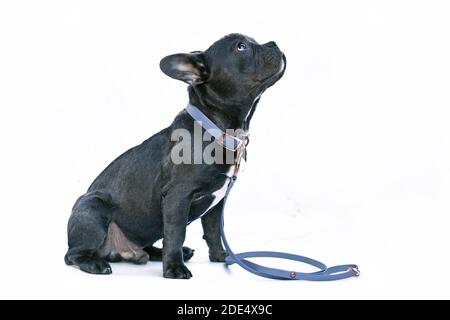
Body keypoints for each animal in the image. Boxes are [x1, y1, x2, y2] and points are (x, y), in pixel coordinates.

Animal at [64, 33, 284, 278]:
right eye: (241, 47)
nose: (273, 43)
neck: (216, 128)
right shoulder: (178, 197)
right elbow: (176, 234)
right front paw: (174, 268)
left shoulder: (216, 206)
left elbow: (214, 231)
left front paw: (220, 257)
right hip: (92, 208)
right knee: (73, 255)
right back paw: (96, 264)